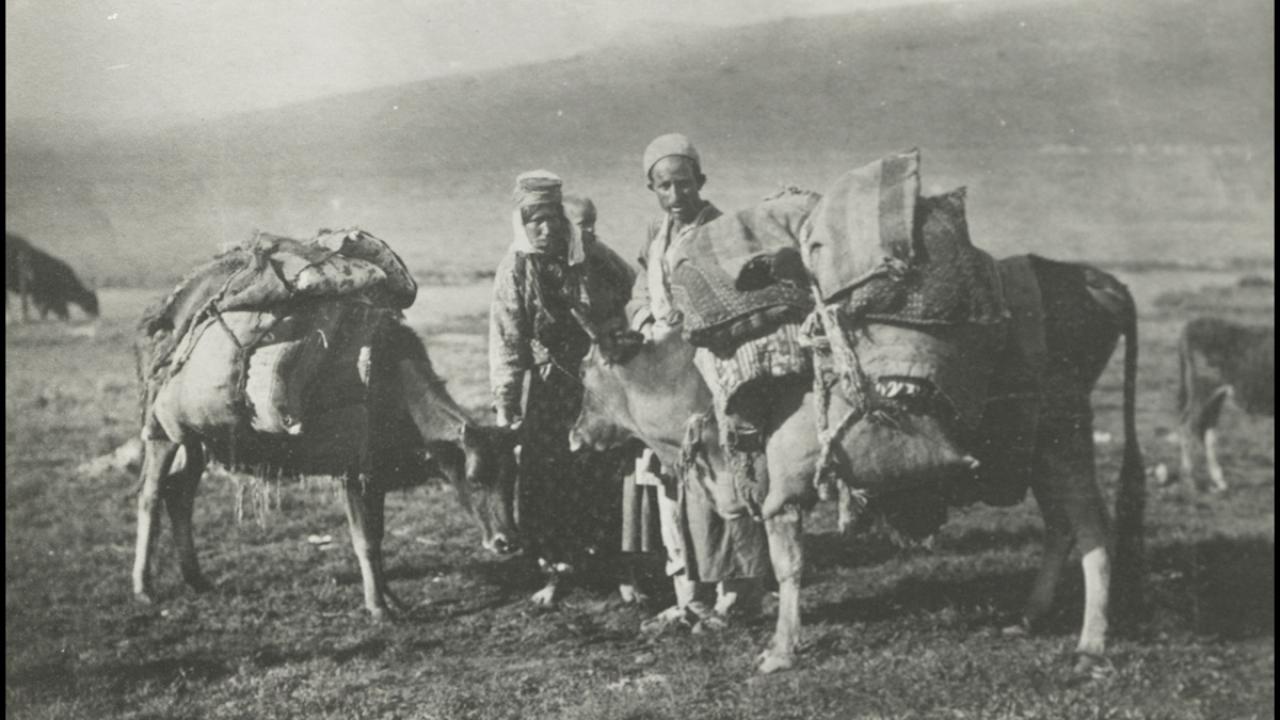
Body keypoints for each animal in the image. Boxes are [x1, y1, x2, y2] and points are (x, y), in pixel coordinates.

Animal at [571, 255, 1145, 674]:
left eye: (584, 371)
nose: (575, 435)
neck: (702, 384)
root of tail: (1096, 280)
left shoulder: (783, 501)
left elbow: (789, 569)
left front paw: (779, 652)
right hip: (1040, 449)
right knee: (1061, 527)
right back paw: (1028, 617)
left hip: (1064, 440)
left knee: (1094, 530)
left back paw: (1091, 643)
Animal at [1175, 316, 1275, 492]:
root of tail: (1194, 323)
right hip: (1203, 390)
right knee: (1188, 426)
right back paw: (1190, 482)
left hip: (1215, 397)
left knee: (1207, 432)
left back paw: (1219, 481)